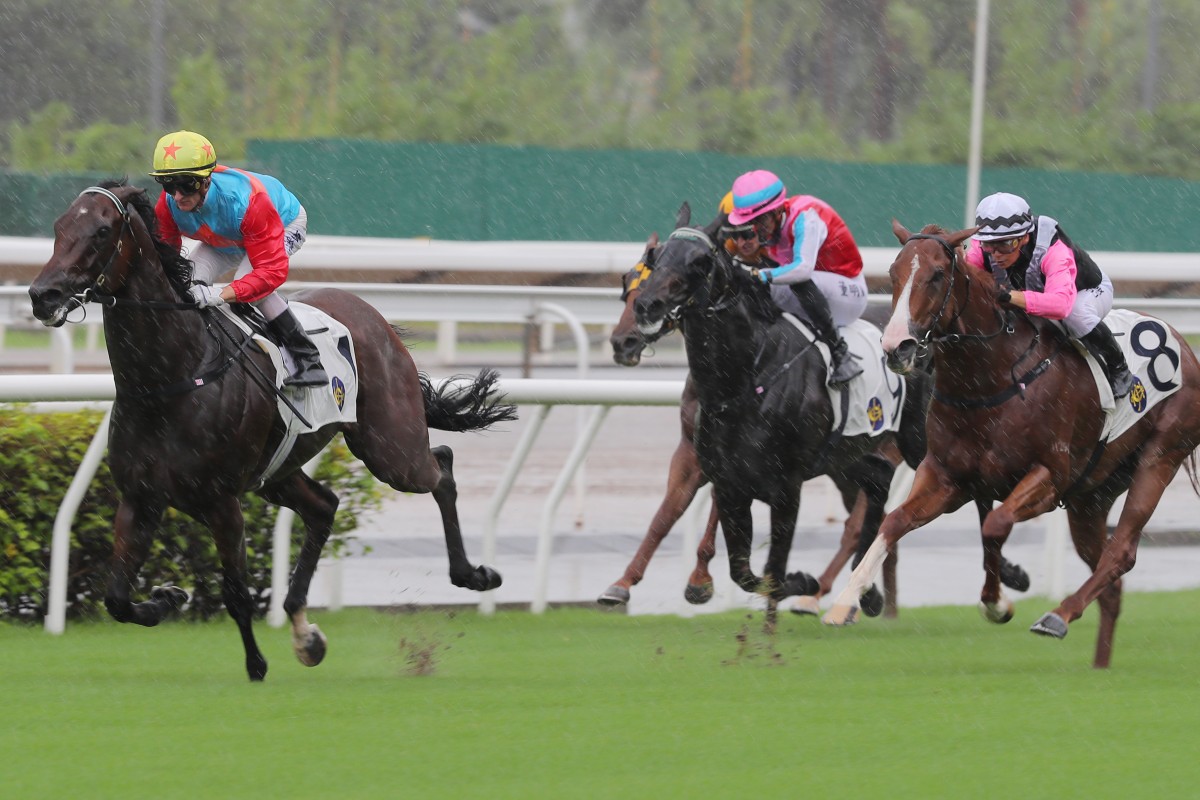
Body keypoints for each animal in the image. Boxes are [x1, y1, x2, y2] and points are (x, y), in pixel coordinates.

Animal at [28, 183, 516, 681]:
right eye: (59, 226)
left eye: (102, 230)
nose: (42, 295)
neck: (168, 380)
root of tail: (372, 315)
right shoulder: (139, 498)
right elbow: (117, 599)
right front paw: (167, 597)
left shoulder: (222, 502)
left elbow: (236, 594)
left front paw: (256, 665)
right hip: (277, 472)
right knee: (325, 506)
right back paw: (306, 633)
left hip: (390, 449)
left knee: (441, 467)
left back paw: (474, 574)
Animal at [825, 220, 1200, 671]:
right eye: (894, 274)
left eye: (936, 275)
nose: (897, 346)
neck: (991, 379)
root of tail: (1183, 342)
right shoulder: (948, 477)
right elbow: (896, 521)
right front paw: (846, 599)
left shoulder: (1048, 479)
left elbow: (995, 524)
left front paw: (997, 603)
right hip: (1091, 496)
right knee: (1109, 576)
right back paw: (1099, 664)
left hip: (1160, 457)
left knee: (1122, 552)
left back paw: (1058, 616)